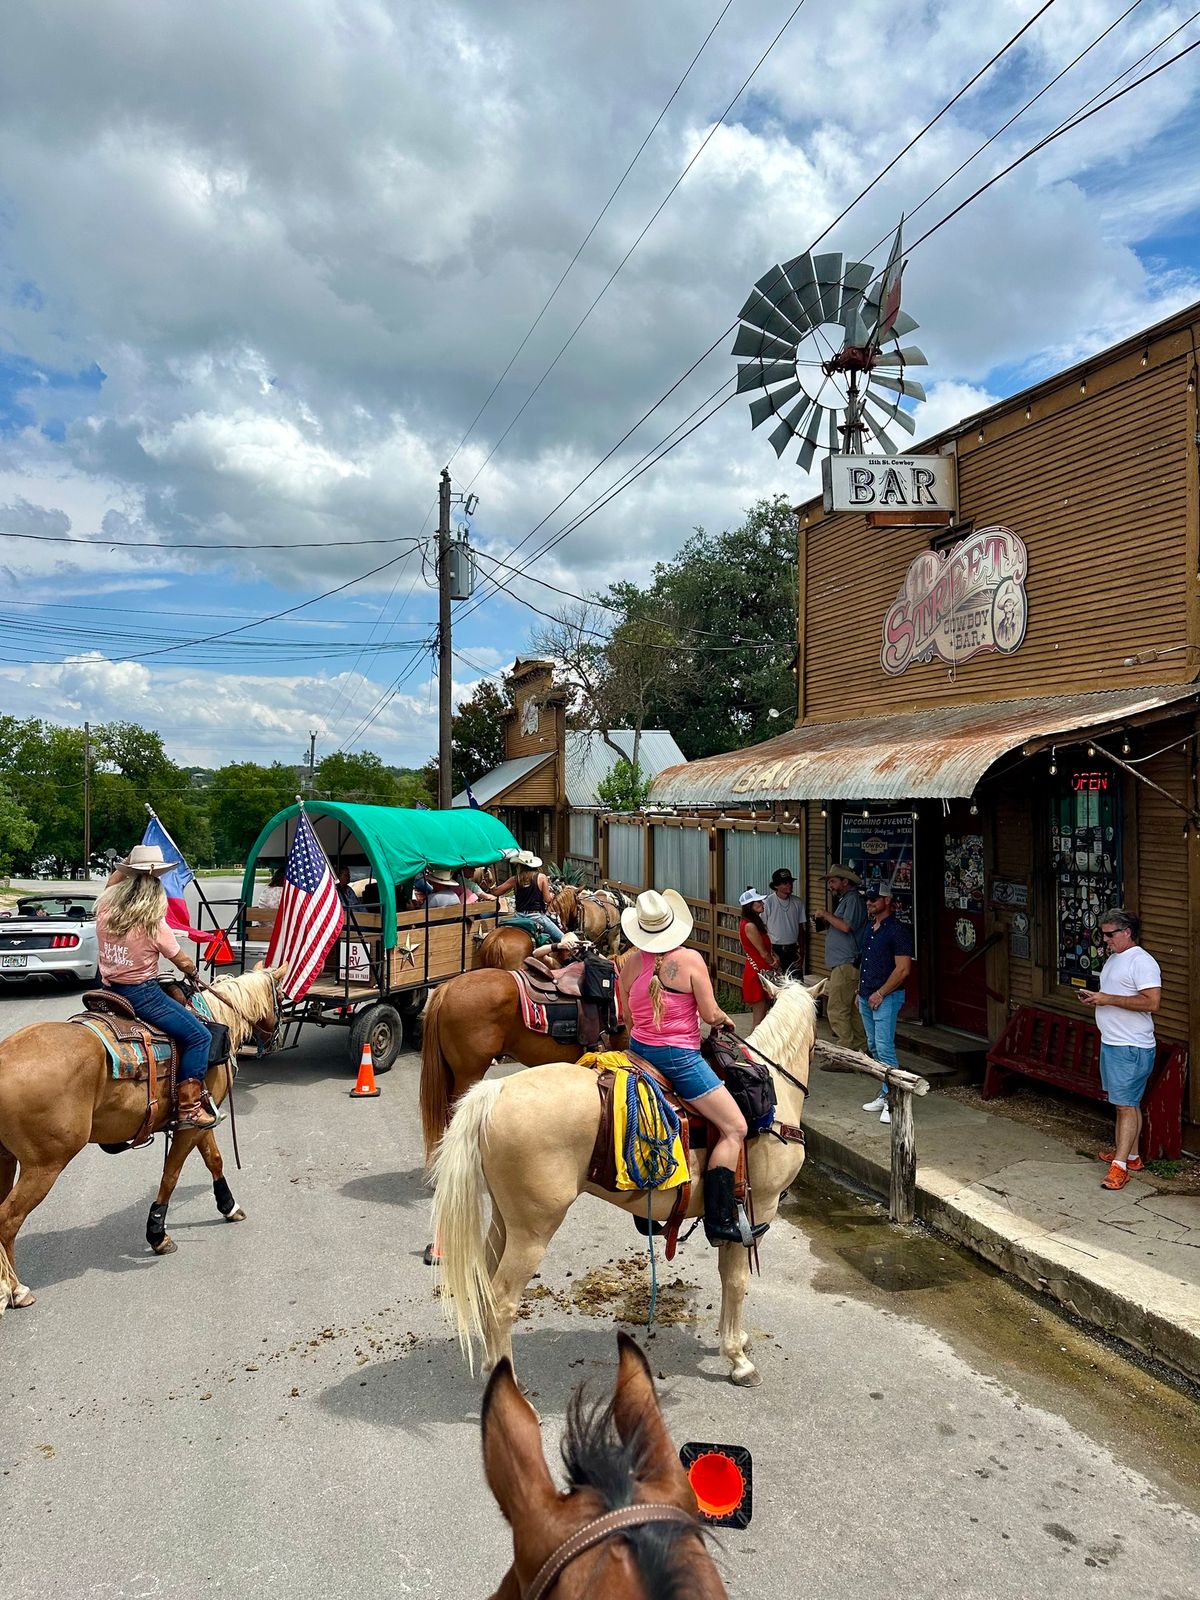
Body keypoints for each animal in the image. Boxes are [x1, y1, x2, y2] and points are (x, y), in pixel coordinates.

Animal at [0, 960, 286, 1312]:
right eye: (282, 997)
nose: (274, 1038)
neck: (215, 1017)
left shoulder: (198, 1119)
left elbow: (214, 1159)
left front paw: (228, 1205)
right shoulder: (192, 1125)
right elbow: (171, 1176)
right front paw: (157, 1234)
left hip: (5, 1159)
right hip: (44, 1165)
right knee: (8, 1219)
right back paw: (17, 1289)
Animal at [438, 972, 825, 1388]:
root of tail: (495, 1091)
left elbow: (727, 1277)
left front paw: (734, 1340)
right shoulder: (757, 1211)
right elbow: (737, 1281)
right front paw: (738, 1359)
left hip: (504, 1221)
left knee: (485, 1287)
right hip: (533, 1232)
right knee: (502, 1300)